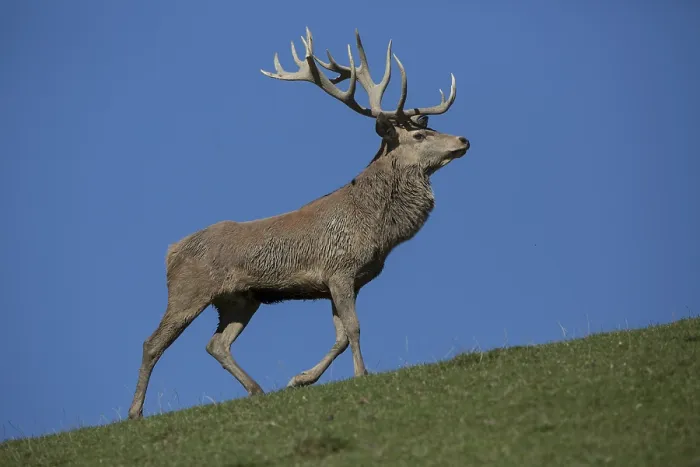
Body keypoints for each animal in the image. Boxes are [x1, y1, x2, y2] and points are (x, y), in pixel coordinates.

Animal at [128, 27, 470, 420]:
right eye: (419, 136)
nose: (463, 139)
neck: (377, 230)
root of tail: (171, 252)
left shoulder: (347, 281)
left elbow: (340, 335)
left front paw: (300, 378)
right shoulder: (339, 269)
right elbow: (353, 328)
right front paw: (361, 374)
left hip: (241, 299)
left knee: (216, 344)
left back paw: (256, 389)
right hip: (188, 290)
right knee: (152, 342)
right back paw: (135, 412)